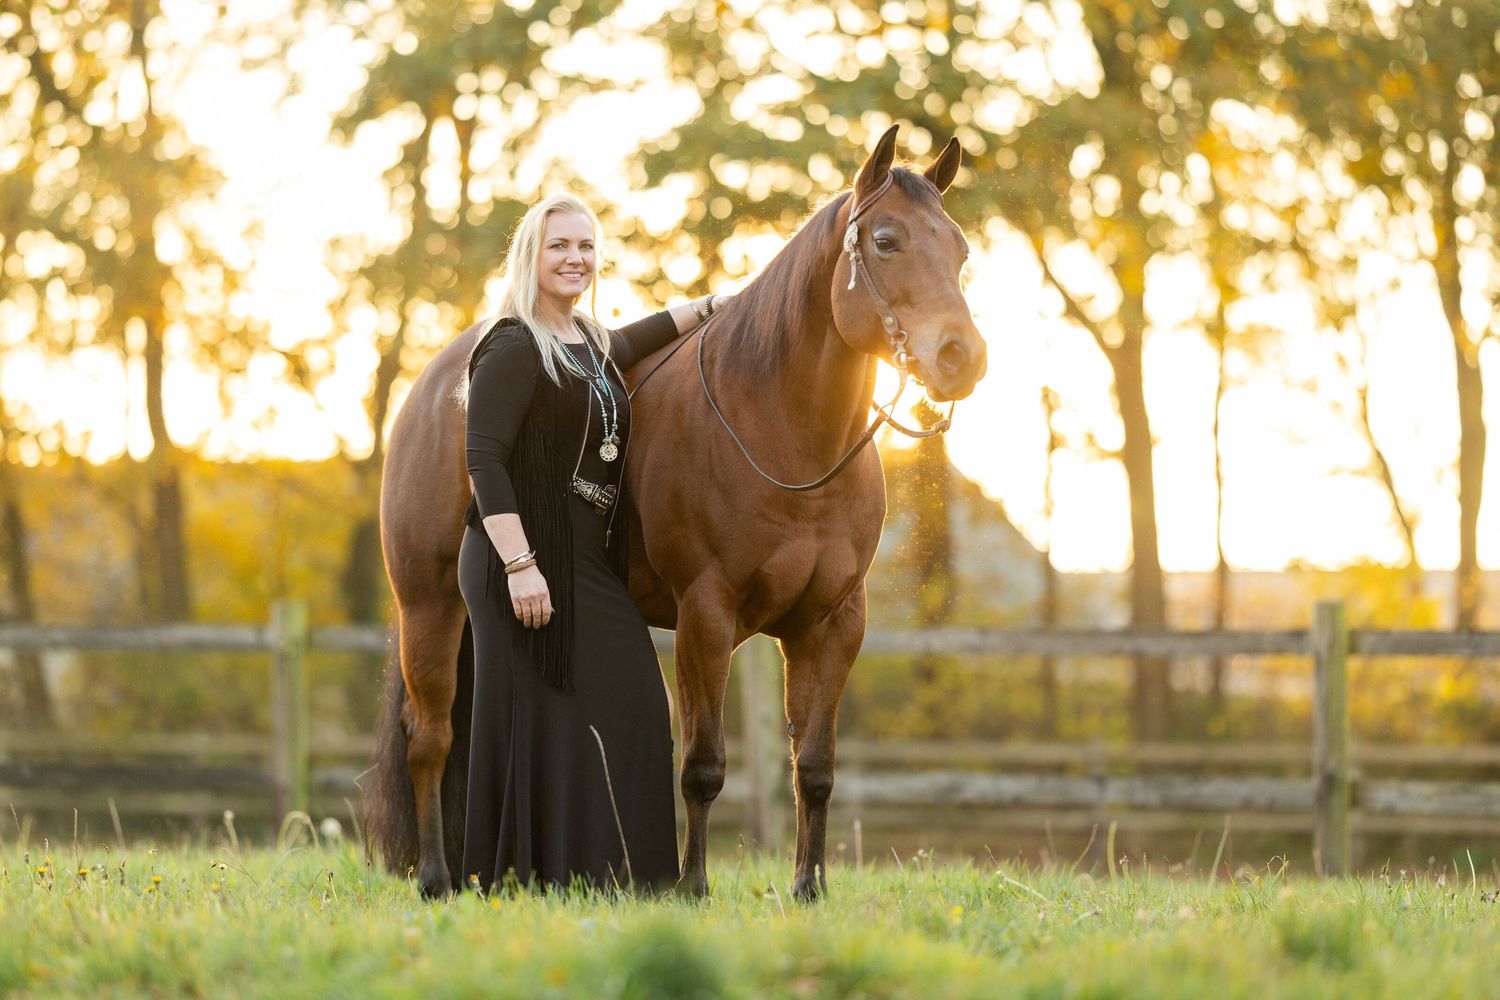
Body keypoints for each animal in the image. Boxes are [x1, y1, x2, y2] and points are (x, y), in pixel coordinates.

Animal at [365, 125, 988, 900]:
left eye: (959, 248)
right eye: (885, 240)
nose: (962, 357)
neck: (780, 434)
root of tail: (437, 384)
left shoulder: (833, 624)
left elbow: (814, 769)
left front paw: (808, 889)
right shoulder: (707, 614)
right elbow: (702, 765)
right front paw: (690, 886)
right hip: (429, 605)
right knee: (431, 738)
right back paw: (435, 878)